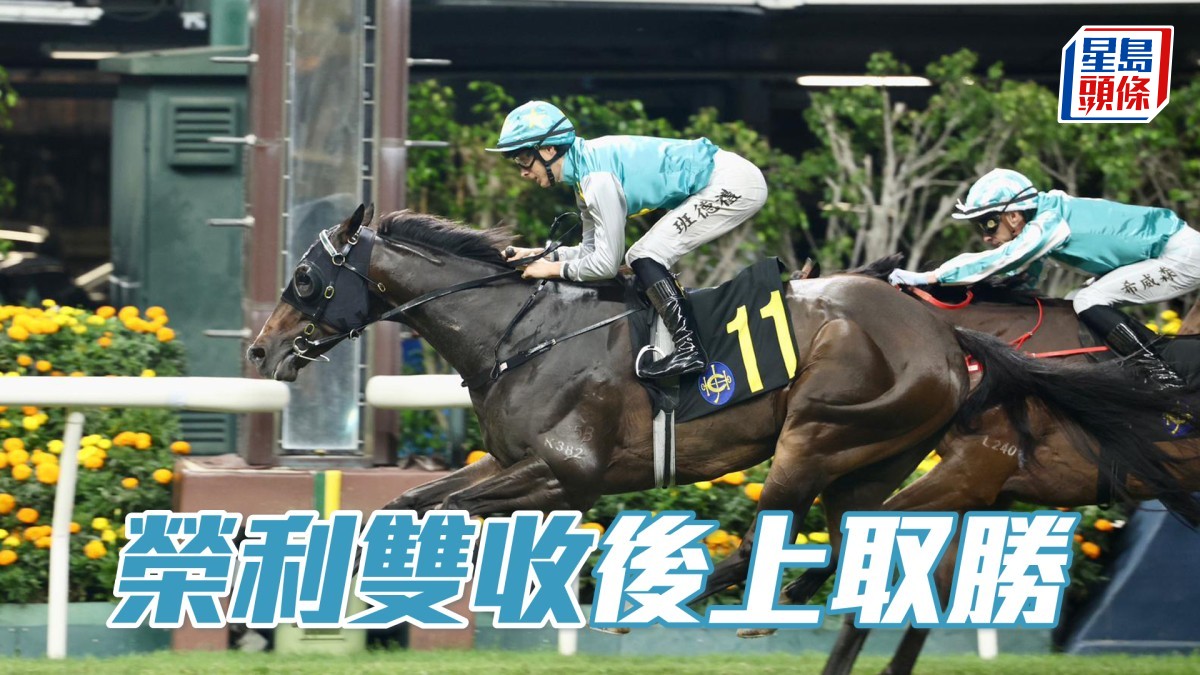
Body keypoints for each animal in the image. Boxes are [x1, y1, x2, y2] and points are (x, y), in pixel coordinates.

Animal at [246, 205, 1195, 613]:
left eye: (306, 278)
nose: (259, 351)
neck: (524, 330)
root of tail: (939, 333)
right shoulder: (522, 467)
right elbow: (412, 502)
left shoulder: (566, 472)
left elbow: (435, 504)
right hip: (875, 458)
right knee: (856, 539)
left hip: (820, 436)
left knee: (774, 535)